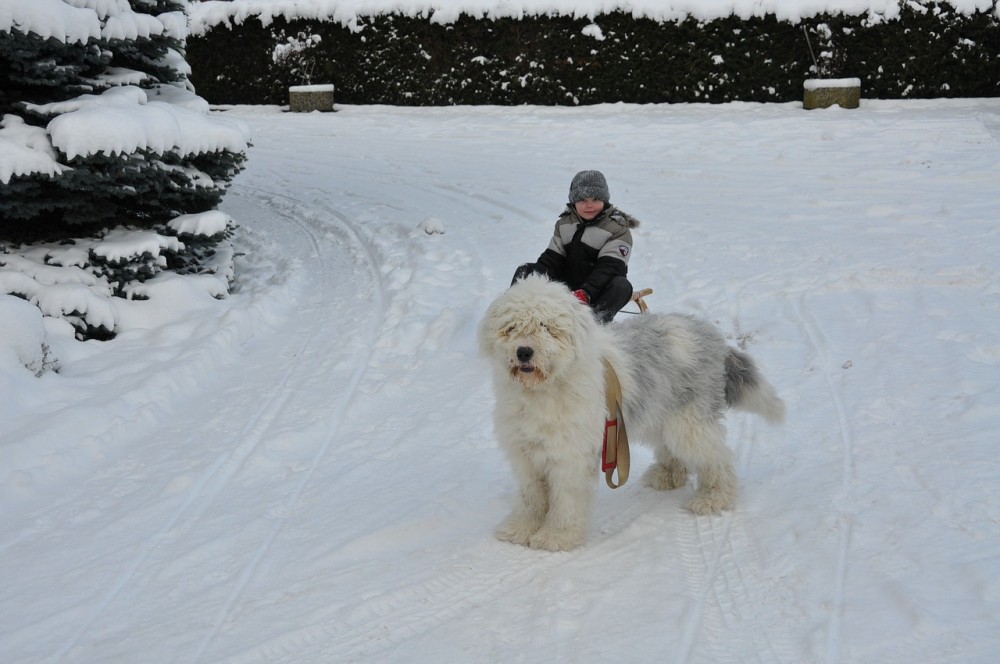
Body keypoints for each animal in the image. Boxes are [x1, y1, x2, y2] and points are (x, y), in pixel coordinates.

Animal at [480, 274, 784, 548]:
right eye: (511, 327)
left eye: (546, 326)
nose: (524, 352)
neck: (545, 389)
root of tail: (712, 336)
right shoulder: (526, 455)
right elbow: (530, 497)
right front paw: (520, 529)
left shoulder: (570, 456)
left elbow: (566, 499)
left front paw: (556, 536)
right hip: (660, 415)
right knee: (674, 450)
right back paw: (668, 475)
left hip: (688, 422)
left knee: (717, 459)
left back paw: (714, 497)